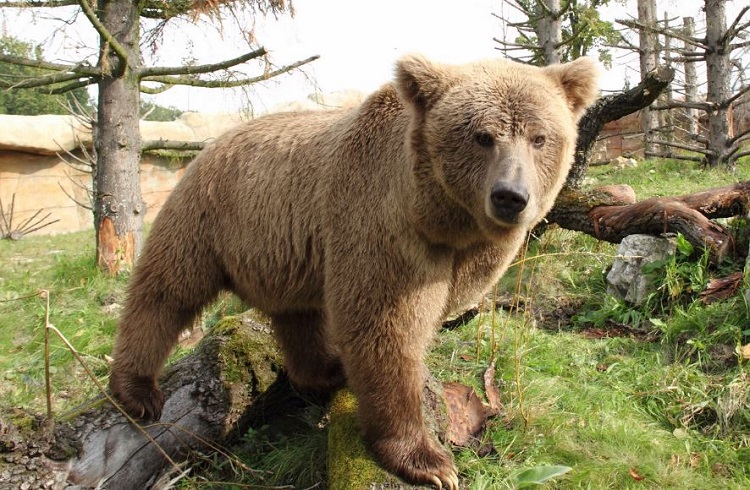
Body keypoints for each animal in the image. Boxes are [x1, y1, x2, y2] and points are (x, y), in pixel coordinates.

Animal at [110, 55, 600, 488]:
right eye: (482, 136)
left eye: (539, 138)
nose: (510, 197)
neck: (440, 218)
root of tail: (211, 143)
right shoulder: (382, 224)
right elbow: (384, 327)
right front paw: (429, 461)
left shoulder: (461, 253)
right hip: (209, 215)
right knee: (166, 291)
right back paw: (138, 390)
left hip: (280, 252)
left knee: (297, 315)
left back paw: (324, 370)